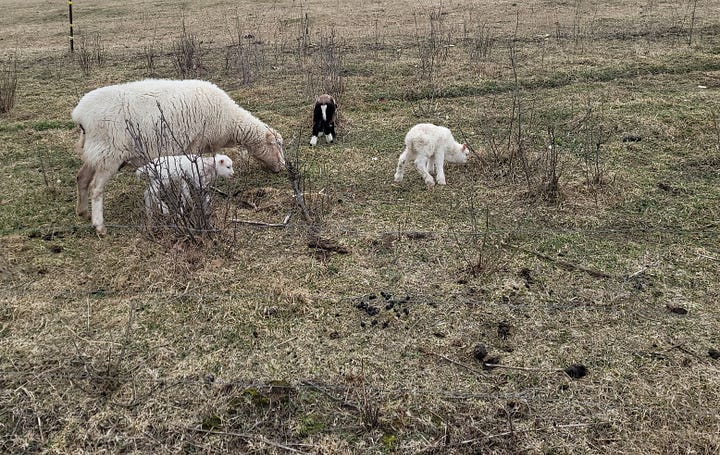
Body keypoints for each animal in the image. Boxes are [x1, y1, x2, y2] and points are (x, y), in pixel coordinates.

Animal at [72, 78, 285, 235]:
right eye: (278, 145)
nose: (282, 168)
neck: (229, 120)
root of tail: (79, 114)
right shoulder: (194, 145)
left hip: (95, 153)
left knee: (81, 178)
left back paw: (83, 212)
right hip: (109, 155)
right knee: (96, 188)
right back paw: (99, 226)